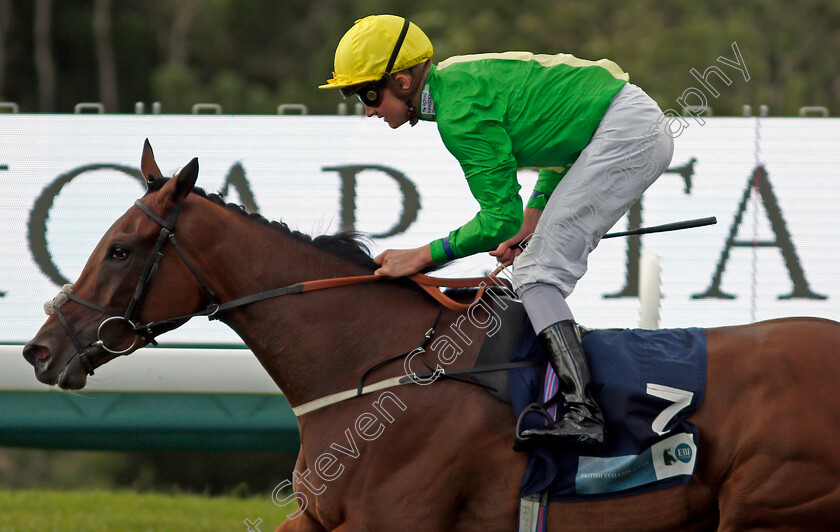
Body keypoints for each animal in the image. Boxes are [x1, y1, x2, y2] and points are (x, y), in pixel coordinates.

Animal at [21, 142, 840, 532]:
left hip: (773, 507)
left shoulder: (393, 522)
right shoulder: (322, 518)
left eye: (120, 249)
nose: (39, 349)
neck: (377, 367)